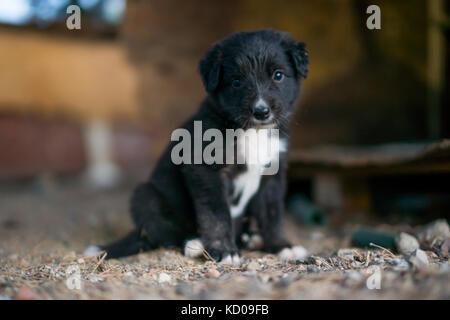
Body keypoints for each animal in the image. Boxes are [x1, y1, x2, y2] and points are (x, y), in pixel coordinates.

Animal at [84, 30, 310, 264]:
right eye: (236, 81)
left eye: (278, 75)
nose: (261, 111)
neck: (251, 131)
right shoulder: (205, 170)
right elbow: (216, 213)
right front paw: (224, 250)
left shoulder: (272, 173)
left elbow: (272, 214)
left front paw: (282, 246)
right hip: (145, 197)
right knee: (164, 232)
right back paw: (195, 243)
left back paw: (249, 238)